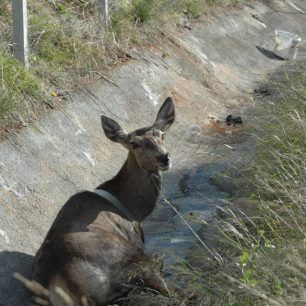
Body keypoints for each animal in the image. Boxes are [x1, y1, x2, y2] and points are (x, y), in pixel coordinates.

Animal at [29, 97, 177, 304]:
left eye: (162, 135)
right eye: (134, 144)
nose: (163, 157)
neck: (132, 210)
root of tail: (66, 281)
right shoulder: (140, 246)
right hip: (134, 263)